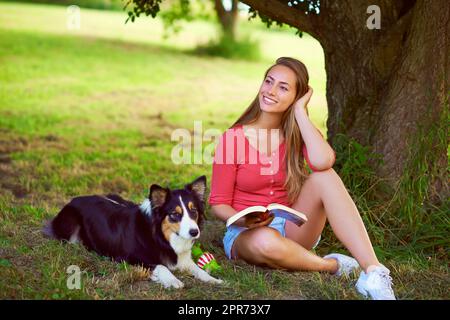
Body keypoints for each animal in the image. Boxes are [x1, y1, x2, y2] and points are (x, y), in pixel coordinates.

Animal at [43, 176, 222, 288]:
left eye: (193, 211)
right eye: (175, 214)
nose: (194, 232)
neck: (160, 237)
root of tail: (74, 199)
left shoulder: (184, 260)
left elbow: (197, 269)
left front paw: (213, 279)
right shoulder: (129, 258)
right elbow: (161, 266)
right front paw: (173, 280)